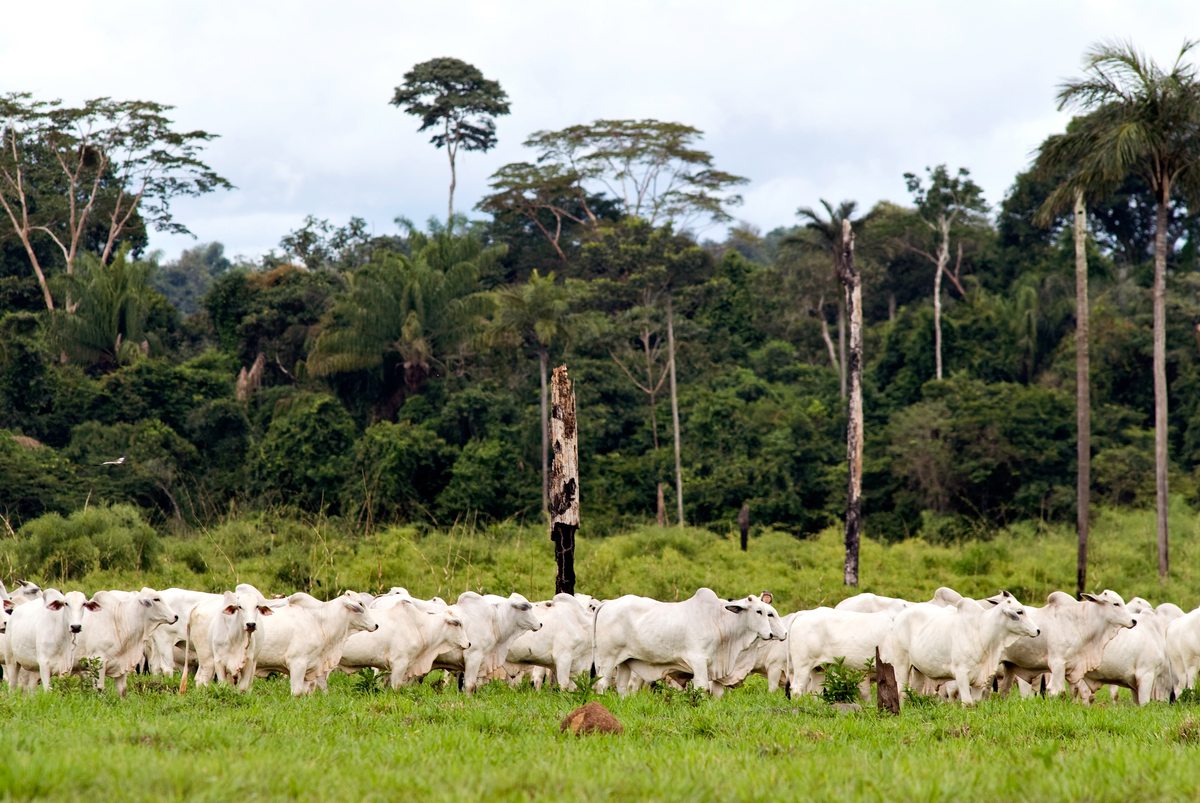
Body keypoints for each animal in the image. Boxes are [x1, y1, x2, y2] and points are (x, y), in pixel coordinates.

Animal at [592, 588, 787, 696]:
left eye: (769, 612)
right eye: (760, 611)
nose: (778, 633)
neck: (719, 620)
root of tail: (607, 603)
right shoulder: (698, 660)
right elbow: (702, 688)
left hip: (625, 661)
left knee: (622, 687)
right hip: (608, 659)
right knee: (602, 684)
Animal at [888, 588, 1036, 705]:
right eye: (1019, 612)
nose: (1037, 630)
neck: (981, 630)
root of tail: (901, 615)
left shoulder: (980, 678)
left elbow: (976, 702)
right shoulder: (961, 675)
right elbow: (967, 703)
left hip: (918, 669)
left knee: (915, 691)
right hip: (901, 664)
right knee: (902, 692)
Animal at [993, 588, 1132, 696]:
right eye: (1116, 604)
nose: (1133, 621)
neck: (1078, 621)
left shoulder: (1072, 667)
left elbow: (1072, 691)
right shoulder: (1057, 664)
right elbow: (1058, 692)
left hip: (1009, 667)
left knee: (1004, 690)